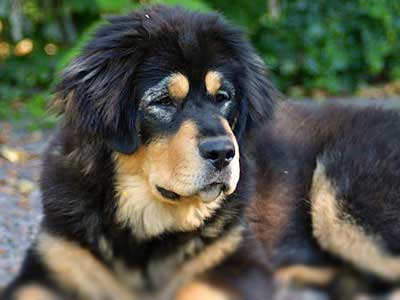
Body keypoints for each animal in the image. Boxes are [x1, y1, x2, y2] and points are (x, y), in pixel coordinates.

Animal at [2, 4, 400, 300]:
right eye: (163, 101)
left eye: (223, 98)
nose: (223, 153)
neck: (144, 223)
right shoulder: (51, 264)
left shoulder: (241, 263)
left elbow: (192, 289)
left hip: (341, 199)